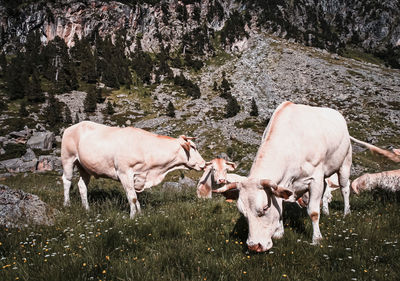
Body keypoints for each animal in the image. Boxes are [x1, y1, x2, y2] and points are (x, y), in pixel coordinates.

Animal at [63, 120, 208, 217]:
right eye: (193, 147)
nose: (203, 163)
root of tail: (73, 126)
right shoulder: (124, 172)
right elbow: (132, 197)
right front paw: (132, 218)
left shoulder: (139, 177)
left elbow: (136, 197)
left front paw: (140, 214)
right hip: (68, 159)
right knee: (67, 181)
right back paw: (67, 204)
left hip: (84, 167)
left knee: (82, 185)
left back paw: (86, 209)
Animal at [214, 101, 352, 252]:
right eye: (243, 213)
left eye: (265, 208)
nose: (254, 246)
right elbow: (280, 207)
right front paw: (279, 233)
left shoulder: (315, 178)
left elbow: (313, 212)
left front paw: (316, 239)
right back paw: (326, 211)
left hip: (345, 162)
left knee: (345, 188)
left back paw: (346, 213)